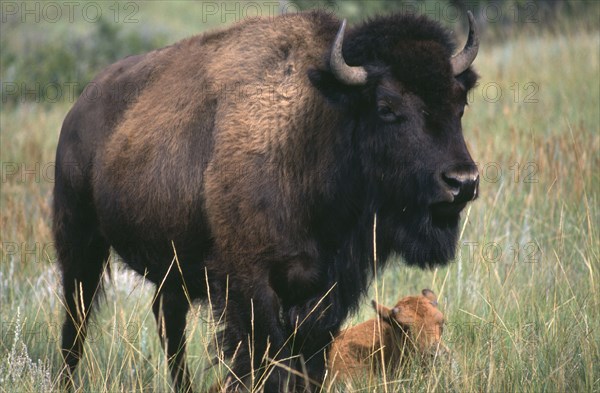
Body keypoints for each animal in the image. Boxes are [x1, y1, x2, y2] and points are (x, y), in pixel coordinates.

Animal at [54, 9, 480, 392]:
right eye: (387, 107)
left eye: (460, 103)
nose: (462, 182)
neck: (314, 128)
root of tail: (79, 108)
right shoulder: (251, 286)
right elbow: (266, 364)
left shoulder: (326, 293)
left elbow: (310, 364)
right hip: (80, 243)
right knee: (76, 321)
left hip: (170, 268)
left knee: (168, 324)